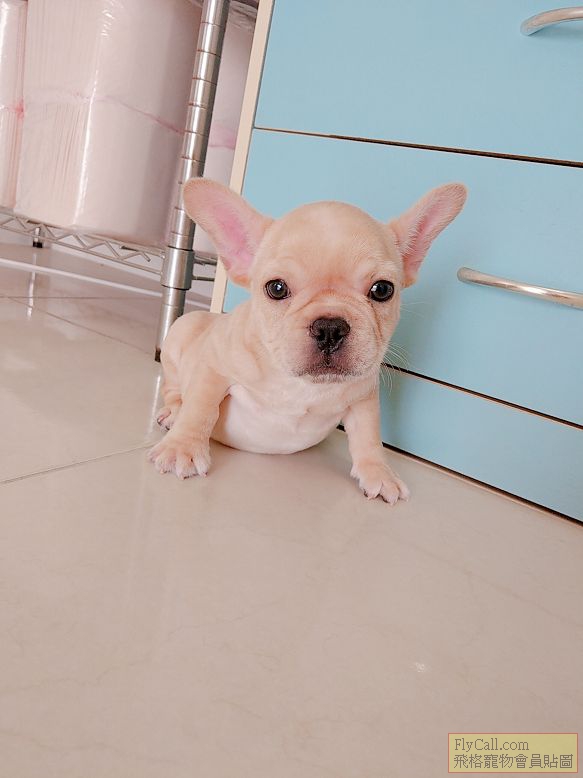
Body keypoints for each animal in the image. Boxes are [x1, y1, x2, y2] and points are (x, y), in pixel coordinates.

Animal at [148, 178, 466, 504]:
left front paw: (379, 472)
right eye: (276, 288)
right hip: (180, 332)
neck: (304, 384)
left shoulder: (363, 398)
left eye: (382, 290)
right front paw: (183, 447)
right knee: (174, 388)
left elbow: (369, 436)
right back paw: (172, 413)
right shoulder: (214, 367)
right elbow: (201, 407)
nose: (330, 327)